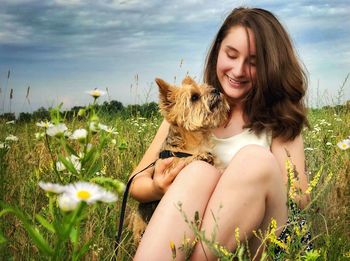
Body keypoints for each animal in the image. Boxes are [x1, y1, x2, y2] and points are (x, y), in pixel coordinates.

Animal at [130, 75, 228, 242]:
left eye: (207, 86)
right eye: (194, 97)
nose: (216, 89)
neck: (197, 141)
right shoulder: (172, 167)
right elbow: (186, 160)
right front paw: (199, 156)